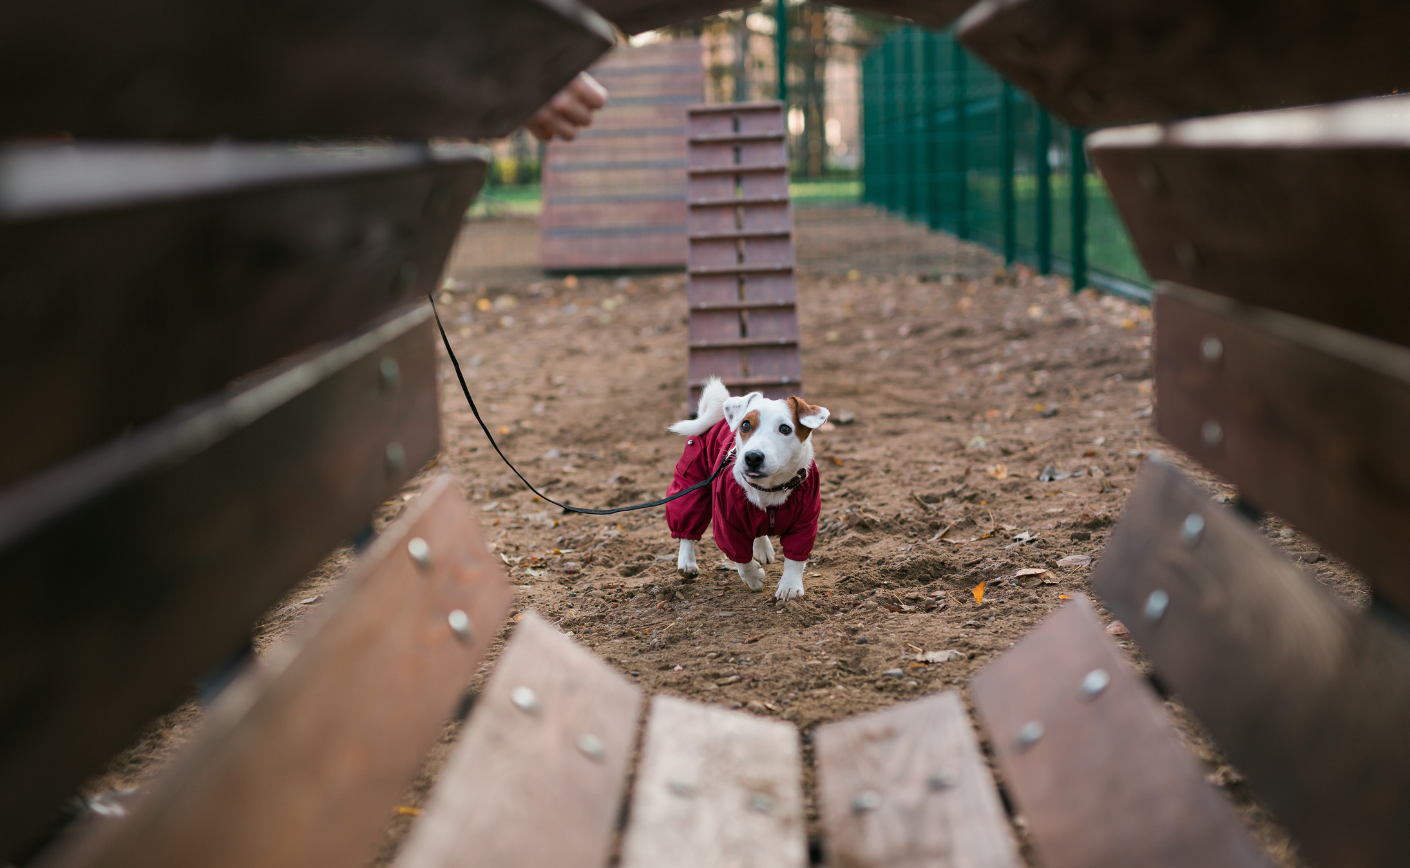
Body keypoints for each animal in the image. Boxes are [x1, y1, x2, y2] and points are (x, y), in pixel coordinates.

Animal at [665, 377, 829, 600]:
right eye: (745, 425)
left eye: (785, 429)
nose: (752, 457)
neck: (769, 491)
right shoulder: (727, 524)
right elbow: (741, 559)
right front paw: (754, 578)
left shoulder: (805, 522)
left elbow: (795, 558)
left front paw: (789, 587)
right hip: (691, 483)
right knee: (687, 524)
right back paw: (686, 562)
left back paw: (762, 547)